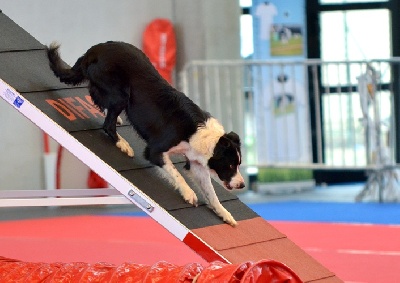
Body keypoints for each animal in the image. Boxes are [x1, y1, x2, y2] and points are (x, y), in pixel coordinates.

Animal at [46, 41, 244, 226]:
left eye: (238, 164)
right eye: (230, 165)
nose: (242, 184)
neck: (203, 136)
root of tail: (95, 49)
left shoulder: (196, 163)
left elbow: (211, 193)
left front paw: (224, 213)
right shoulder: (155, 151)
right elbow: (177, 174)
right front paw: (189, 193)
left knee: (97, 98)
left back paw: (115, 118)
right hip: (120, 94)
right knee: (106, 123)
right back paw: (122, 143)